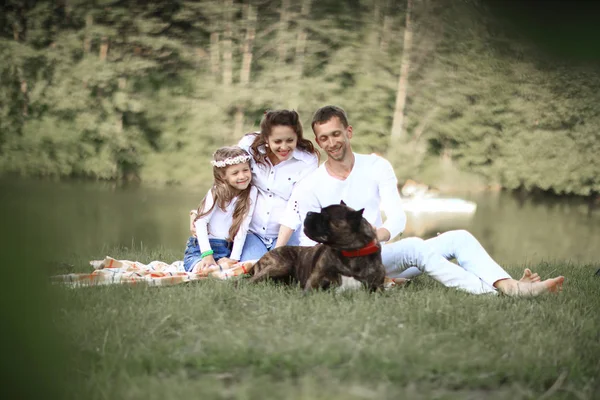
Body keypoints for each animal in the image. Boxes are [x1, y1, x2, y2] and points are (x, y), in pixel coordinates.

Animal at [247, 202, 384, 292]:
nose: (309, 213)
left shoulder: (377, 288)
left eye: (326, 216)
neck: (349, 252)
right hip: (281, 265)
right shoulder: (314, 283)